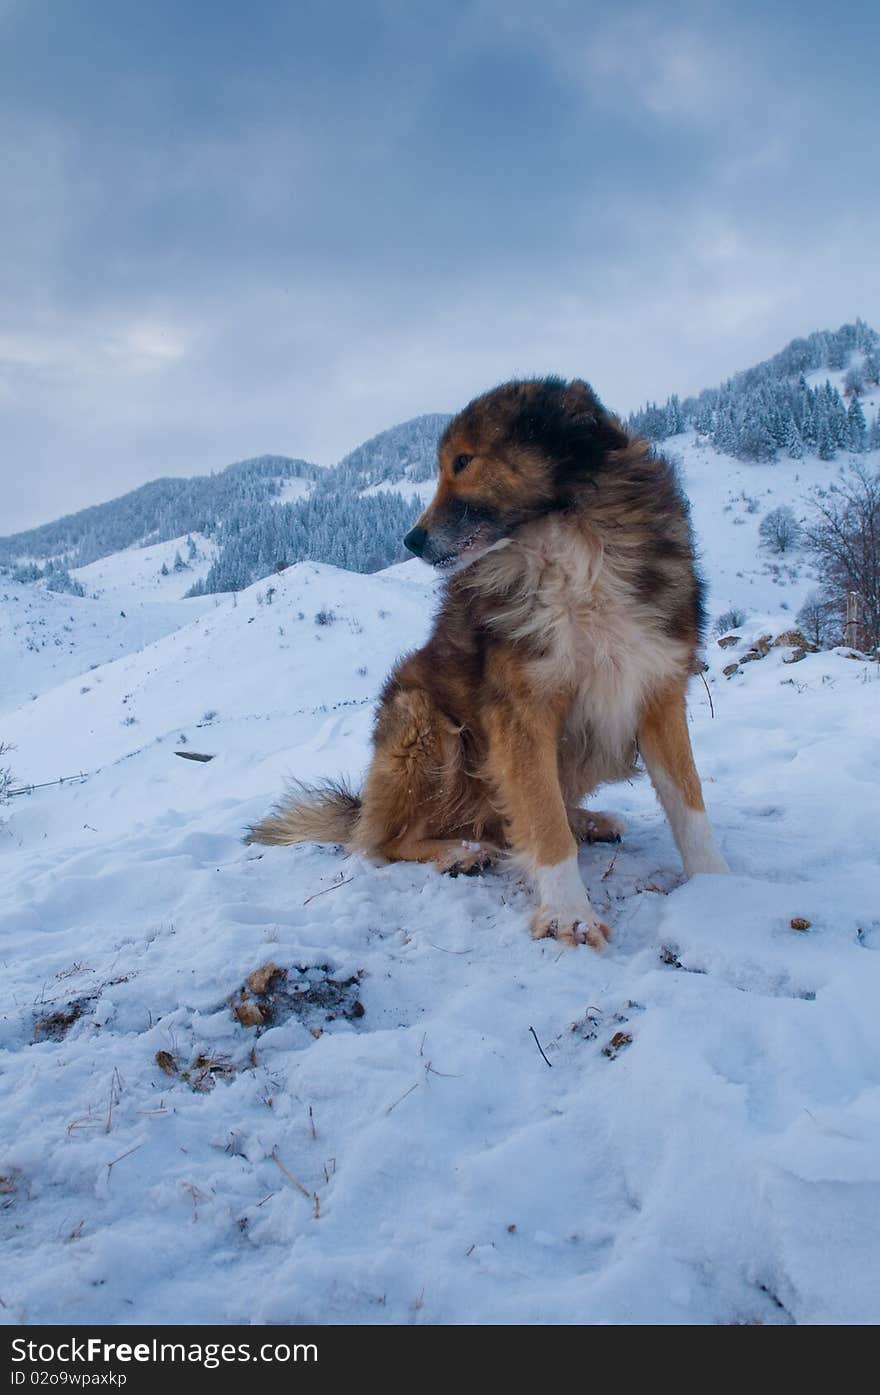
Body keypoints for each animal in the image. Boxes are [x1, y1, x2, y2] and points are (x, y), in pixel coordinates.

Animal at [248, 379, 730, 948]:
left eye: (462, 461)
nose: (411, 541)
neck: (572, 542)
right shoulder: (520, 714)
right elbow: (543, 821)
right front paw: (569, 914)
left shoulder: (656, 688)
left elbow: (688, 802)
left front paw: (719, 889)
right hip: (424, 722)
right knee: (384, 842)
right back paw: (458, 852)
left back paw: (584, 821)